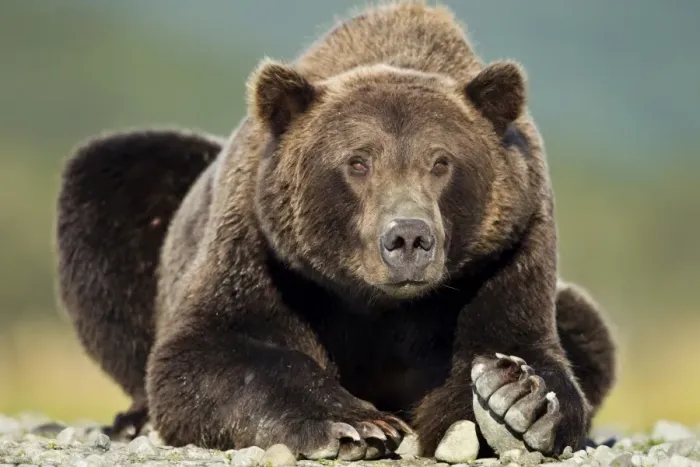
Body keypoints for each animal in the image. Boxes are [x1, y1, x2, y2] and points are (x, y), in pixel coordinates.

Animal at [55, 0, 617, 461]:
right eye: (357, 162)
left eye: (441, 162)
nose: (408, 238)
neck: (377, 302)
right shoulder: (261, 247)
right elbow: (208, 350)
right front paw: (355, 424)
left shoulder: (507, 248)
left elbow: (516, 341)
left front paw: (514, 400)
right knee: (110, 180)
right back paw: (132, 420)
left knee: (588, 325)